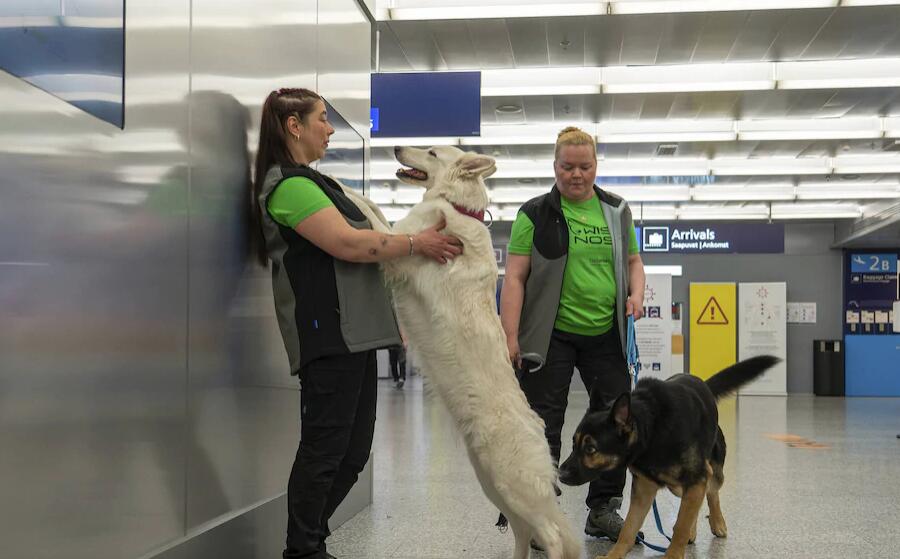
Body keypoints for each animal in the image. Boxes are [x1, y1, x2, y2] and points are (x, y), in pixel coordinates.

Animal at [342, 148, 580, 559]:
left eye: (432, 151)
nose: (395, 149)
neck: (457, 207)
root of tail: (537, 427)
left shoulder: (398, 243)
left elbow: (369, 211)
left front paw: (336, 183)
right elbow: (374, 208)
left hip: (511, 483)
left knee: (550, 535)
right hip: (494, 487)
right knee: (523, 531)